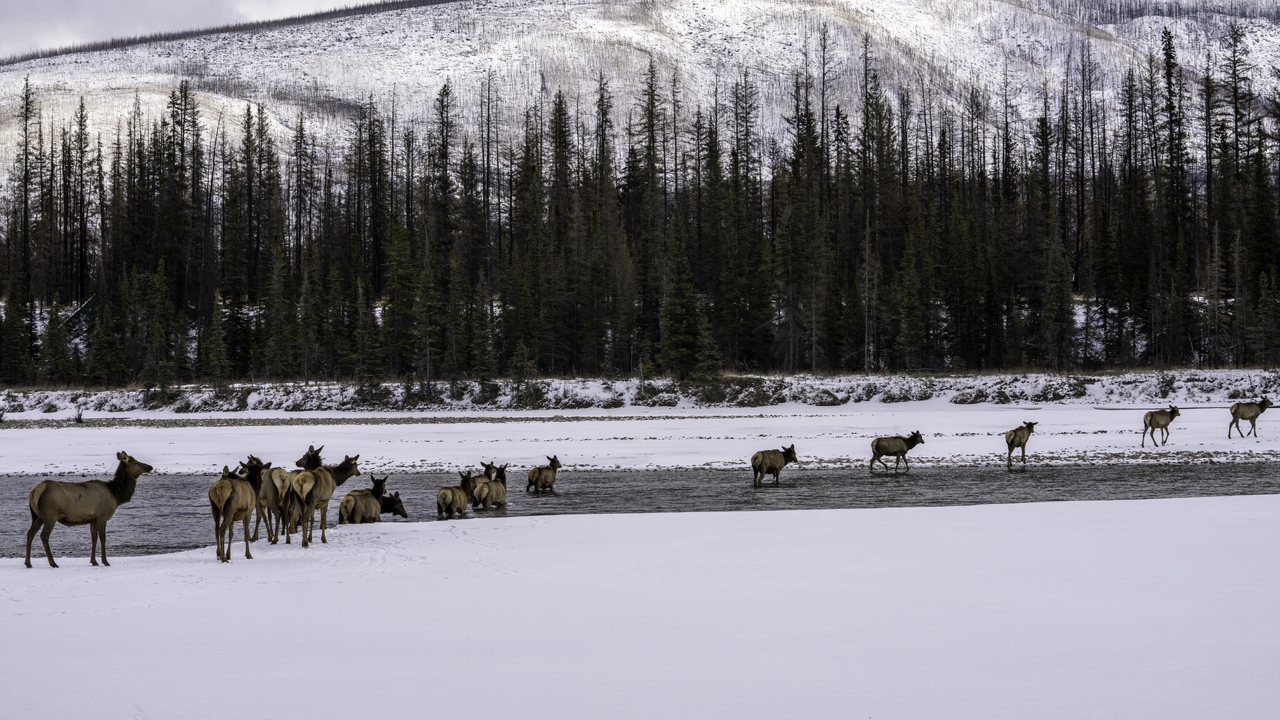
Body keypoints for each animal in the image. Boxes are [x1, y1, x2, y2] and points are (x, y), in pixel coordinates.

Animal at [25, 451, 154, 568]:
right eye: (135, 462)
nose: (150, 467)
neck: (115, 495)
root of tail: (34, 492)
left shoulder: (93, 519)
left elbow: (93, 539)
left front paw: (94, 561)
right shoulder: (102, 516)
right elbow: (102, 538)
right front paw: (105, 561)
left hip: (37, 516)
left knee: (30, 533)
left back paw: (28, 563)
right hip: (50, 515)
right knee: (44, 536)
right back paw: (53, 563)